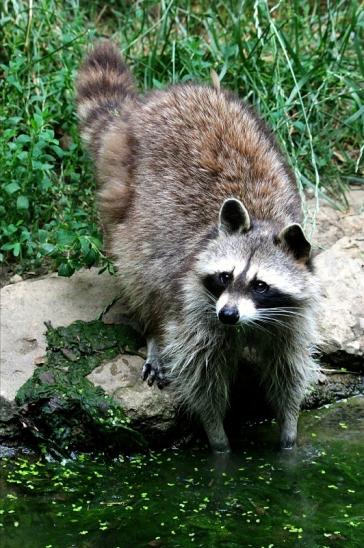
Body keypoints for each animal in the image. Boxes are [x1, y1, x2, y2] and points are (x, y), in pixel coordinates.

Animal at [76, 40, 318, 452]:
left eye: (260, 285)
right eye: (225, 276)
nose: (229, 315)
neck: (262, 219)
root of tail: (141, 106)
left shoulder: (291, 317)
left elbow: (287, 371)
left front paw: (289, 432)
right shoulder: (197, 305)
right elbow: (202, 377)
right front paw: (219, 441)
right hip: (127, 201)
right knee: (142, 272)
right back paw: (154, 333)